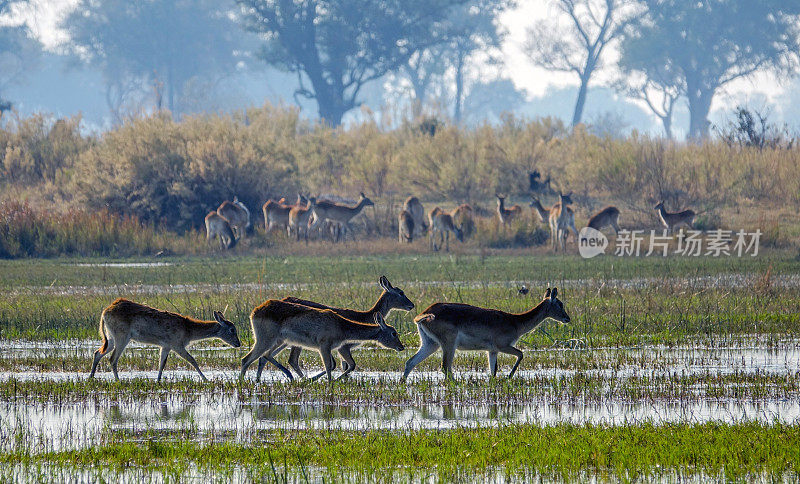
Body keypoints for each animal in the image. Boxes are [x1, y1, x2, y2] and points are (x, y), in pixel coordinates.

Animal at [89, 298, 241, 382]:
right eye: (232, 330)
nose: (238, 344)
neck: (188, 330)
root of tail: (104, 312)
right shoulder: (177, 344)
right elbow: (193, 360)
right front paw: (205, 379)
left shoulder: (166, 345)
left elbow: (161, 363)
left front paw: (158, 380)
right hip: (122, 336)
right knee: (112, 359)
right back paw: (118, 380)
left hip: (110, 337)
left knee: (98, 352)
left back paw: (91, 377)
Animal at [256, 276, 416, 382]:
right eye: (401, 292)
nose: (412, 305)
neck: (364, 317)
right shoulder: (343, 346)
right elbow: (345, 366)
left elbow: (343, 366)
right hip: (290, 341)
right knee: (290, 359)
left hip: (285, 340)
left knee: (265, 356)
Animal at [404, 286, 572, 380]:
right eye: (560, 304)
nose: (567, 318)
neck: (515, 321)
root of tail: (424, 314)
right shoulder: (503, 346)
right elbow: (521, 354)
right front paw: (509, 377)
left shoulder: (492, 351)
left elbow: (493, 371)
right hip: (448, 344)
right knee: (445, 367)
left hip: (430, 344)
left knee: (410, 362)